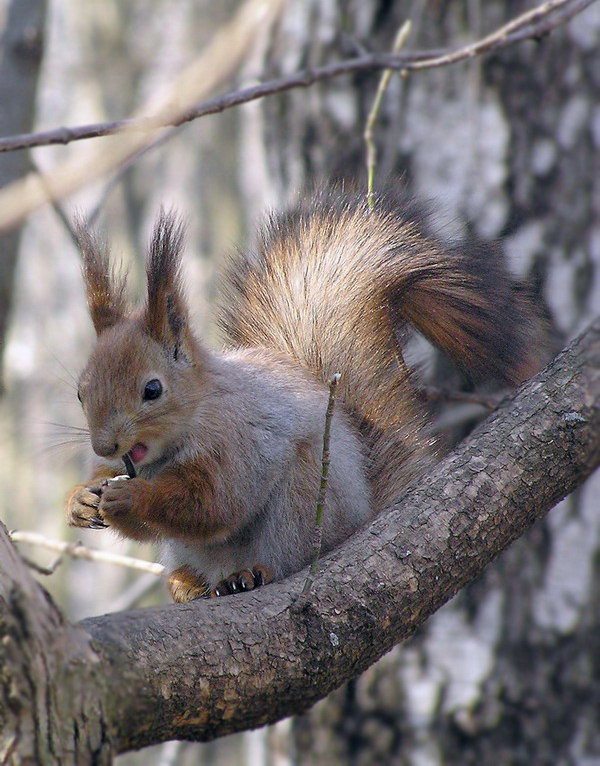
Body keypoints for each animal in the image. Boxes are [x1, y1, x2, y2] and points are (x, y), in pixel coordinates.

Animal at [66, 191, 538, 602]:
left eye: (152, 390)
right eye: (80, 392)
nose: (104, 445)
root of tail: (359, 519)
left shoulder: (240, 439)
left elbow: (213, 503)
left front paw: (133, 497)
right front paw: (81, 499)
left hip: (305, 500)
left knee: (281, 555)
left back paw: (249, 574)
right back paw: (187, 582)